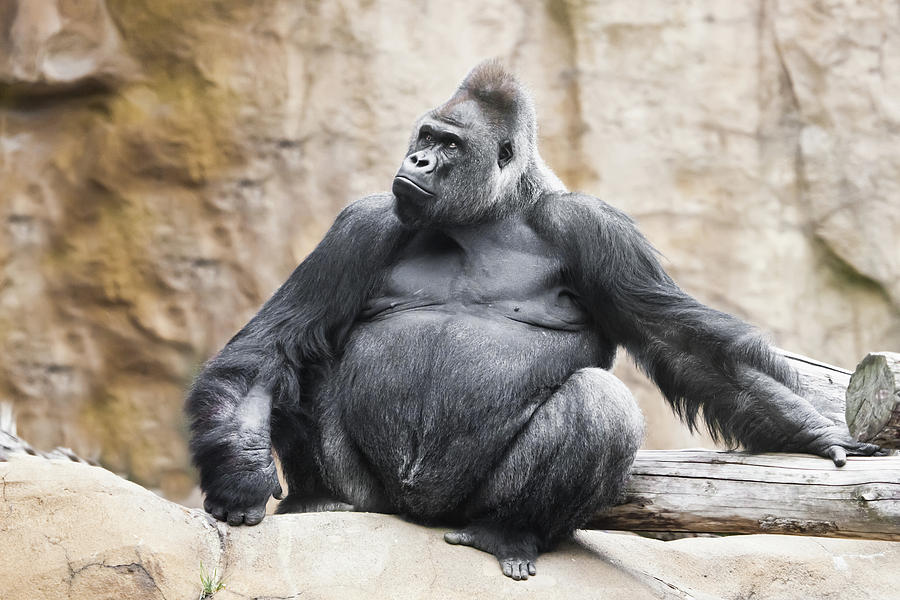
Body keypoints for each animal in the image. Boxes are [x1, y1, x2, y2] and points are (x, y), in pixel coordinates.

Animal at [186, 62, 884, 580]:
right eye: (425, 137)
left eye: (449, 145)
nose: (417, 162)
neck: (492, 213)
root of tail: (417, 512)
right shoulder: (362, 224)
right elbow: (269, 351)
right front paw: (241, 476)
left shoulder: (597, 229)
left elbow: (685, 345)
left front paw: (813, 433)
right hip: (377, 498)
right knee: (306, 366)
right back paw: (324, 498)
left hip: (464, 506)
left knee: (598, 403)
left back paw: (508, 531)